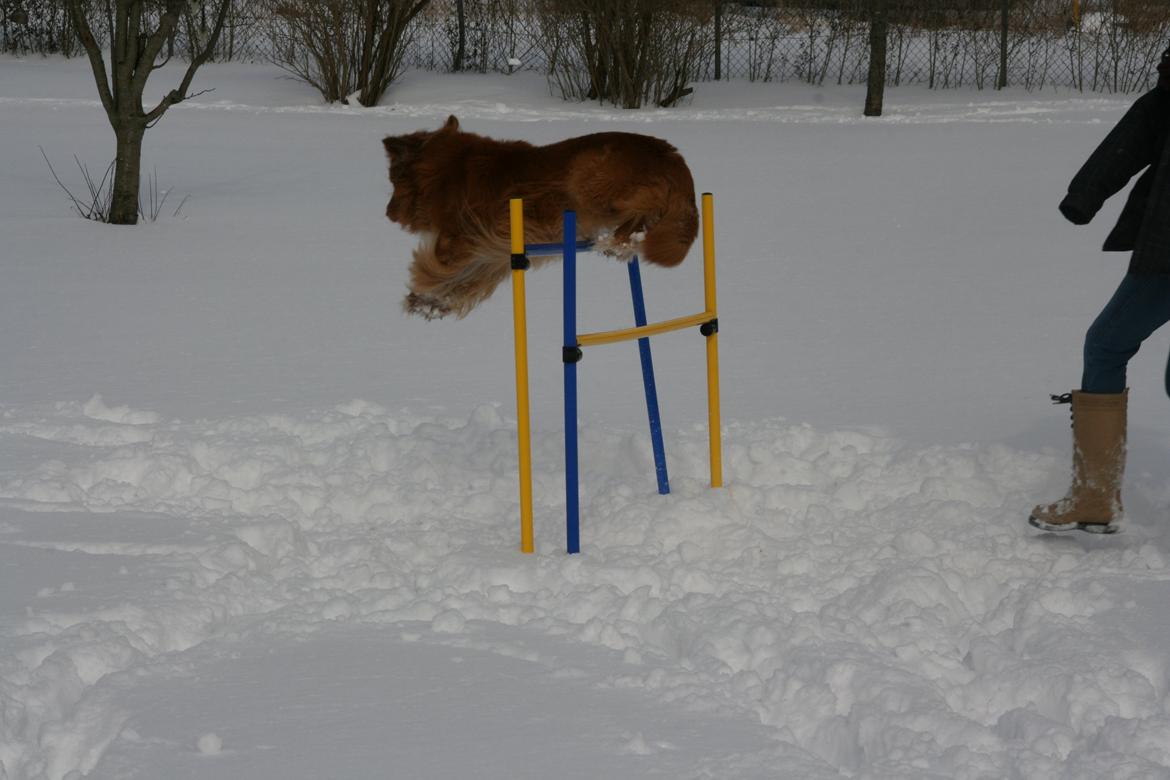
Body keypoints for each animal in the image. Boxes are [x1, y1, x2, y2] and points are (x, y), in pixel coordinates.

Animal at [383, 115, 697, 320]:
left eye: (392, 181)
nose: (387, 214)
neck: (445, 169)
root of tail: (673, 157)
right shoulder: (493, 250)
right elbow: (464, 281)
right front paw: (428, 302)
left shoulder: (462, 236)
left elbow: (441, 264)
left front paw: (425, 290)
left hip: (586, 178)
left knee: (640, 209)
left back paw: (615, 241)